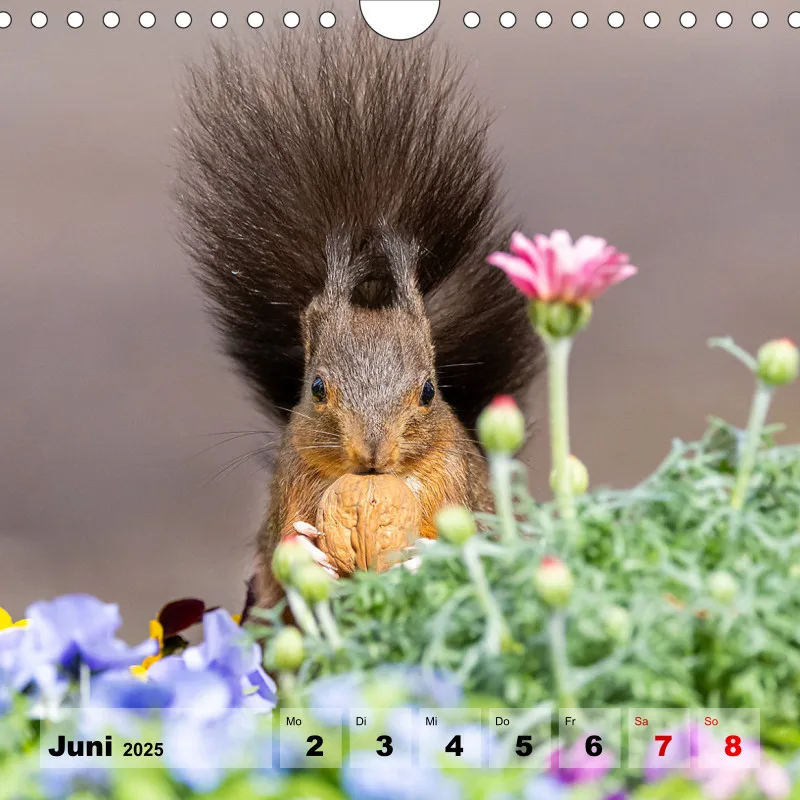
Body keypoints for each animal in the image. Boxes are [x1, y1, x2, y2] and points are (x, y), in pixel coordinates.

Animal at [174, 21, 542, 615]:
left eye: (429, 391)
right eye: (317, 387)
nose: (372, 454)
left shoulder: (459, 486)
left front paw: (421, 556)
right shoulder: (290, 482)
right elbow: (280, 547)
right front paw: (306, 549)